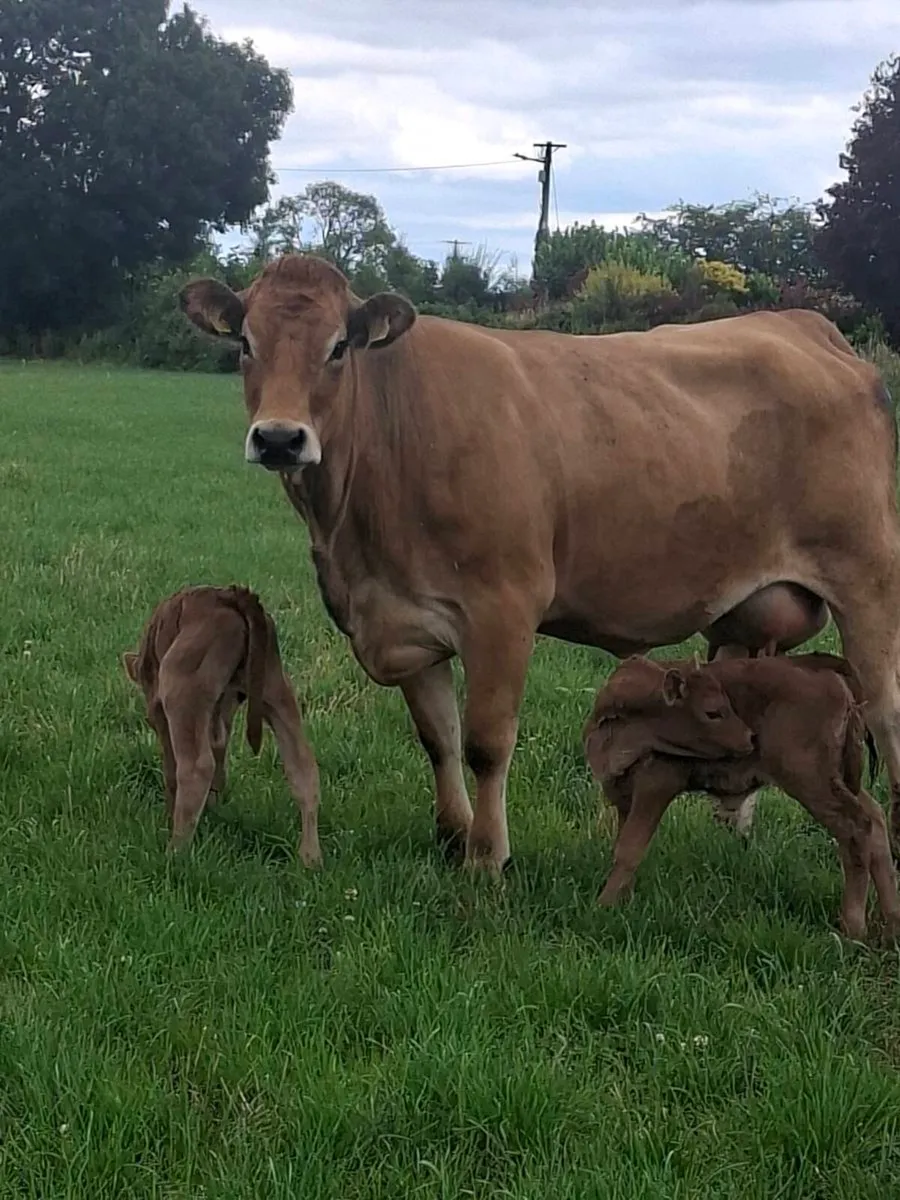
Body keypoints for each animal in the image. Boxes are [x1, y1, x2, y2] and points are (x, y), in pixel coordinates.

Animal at [123, 584, 321, 863]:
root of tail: (231, 595)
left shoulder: (161, 711)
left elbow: (172, 766)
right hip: (274, 687)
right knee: (302, 764)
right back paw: (310, 858)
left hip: (181, 688)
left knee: (196, 767)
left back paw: (175, 853)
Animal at [177, 252, 900, 877]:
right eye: (245, 344)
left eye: (337, 347)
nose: (279, 438)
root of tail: (803, 325)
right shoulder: (406, 619)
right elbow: (437, 736)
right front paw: (452, 836)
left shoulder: (502, 609)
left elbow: (485, 742)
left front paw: (486, 859)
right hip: (747, 611)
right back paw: (733, 825)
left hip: (867, 578)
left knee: (886, 710)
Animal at [583, 653, 900, 942]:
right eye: (713, 712)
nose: (750, 738)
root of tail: (831, 677)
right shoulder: (623, 793)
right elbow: (623, 843)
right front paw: (621, 898)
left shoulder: (657, 784)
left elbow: (630, 848)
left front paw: (603, 906)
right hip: (838, 780)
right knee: (874, 819)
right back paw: (891, 923)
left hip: (811, 782)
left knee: (856, 827)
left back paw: (853, 929)